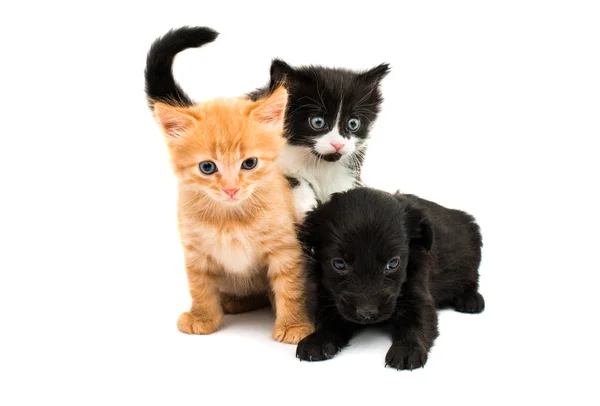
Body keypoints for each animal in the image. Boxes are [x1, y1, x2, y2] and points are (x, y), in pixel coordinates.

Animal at [151, 88, 314, 342]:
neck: (231, 218)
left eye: (249, 163)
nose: (231, 189)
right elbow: (199, 285)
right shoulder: (195, 248)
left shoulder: (285, 246)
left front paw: (293, 324)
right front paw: (202, 316)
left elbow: (290, 287)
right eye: (207, 167)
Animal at [298, 189, 486, 370]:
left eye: (393, 263)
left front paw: (407, 348)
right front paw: (317, 340)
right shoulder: (327, 296)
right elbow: (329, 320)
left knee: (472, 280)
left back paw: (471, 300)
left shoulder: (419, 295)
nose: (367, 313)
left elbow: (418, 322)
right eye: (339, 264)